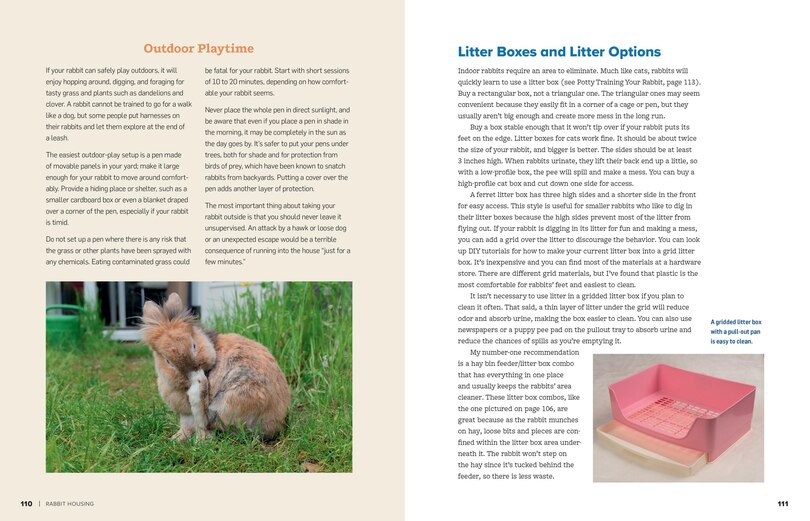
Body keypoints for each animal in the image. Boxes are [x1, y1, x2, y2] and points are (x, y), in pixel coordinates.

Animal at [140, 292, 290, 442]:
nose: (193, 371)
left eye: (194, 346)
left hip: (229, 402)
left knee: (208, 421)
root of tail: (276, 425)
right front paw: (176, 439)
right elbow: (185, 427)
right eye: (167, 361)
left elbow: (199, 424)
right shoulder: (185, 416)